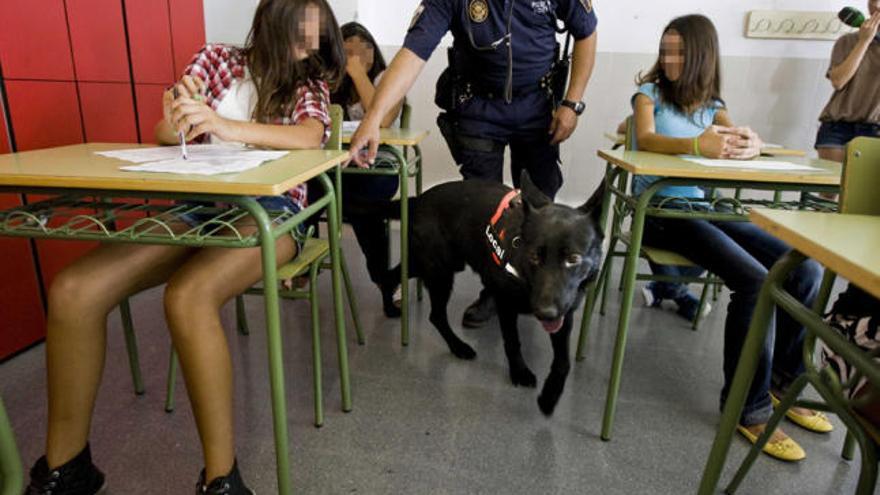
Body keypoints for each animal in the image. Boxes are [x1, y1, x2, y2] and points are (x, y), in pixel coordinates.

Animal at [392, 172, 604, 416]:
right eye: (534, 256)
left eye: (573, 259)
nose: (545, 313)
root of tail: (418, 200)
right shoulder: (506, 305)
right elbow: (512, 342)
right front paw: (519, 372)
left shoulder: (563, 315)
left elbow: (563, 363)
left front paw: (549, 397)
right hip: (440, 273)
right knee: (436, 315)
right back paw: (458, 347)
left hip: (434, 266)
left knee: (390, 275)